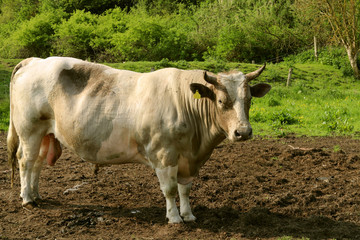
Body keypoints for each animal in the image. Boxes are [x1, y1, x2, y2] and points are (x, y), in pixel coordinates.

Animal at [7, 56, 270, 223]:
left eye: (249, 99)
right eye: (221, 101)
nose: (243, 132)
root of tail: (35, 61)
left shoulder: (189, 159)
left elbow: (185, 189)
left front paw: (188, 215)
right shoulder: (164, 154)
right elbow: (170, 189)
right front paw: (174, 218)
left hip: (45, 133)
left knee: (37, 164)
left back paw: (36, 194)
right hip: (29, 130)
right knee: (25, 161)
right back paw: (27, 199)